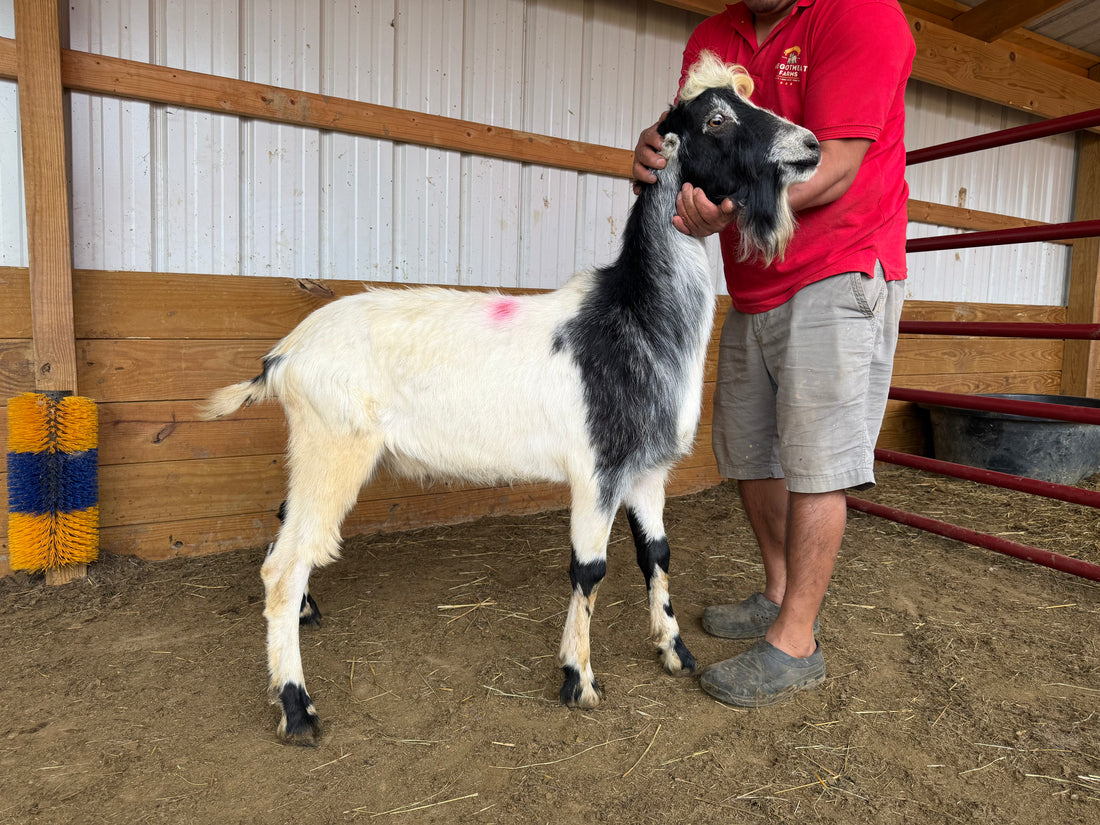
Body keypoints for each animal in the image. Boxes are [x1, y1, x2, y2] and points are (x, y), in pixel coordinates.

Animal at [202, 51, 821, 745]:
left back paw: (307, 617)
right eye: (716, 119)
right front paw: (578, 679)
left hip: (313, 448)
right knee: (284, 565)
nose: (811, 145)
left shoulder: (646, 469)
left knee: (287, 531)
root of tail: (284, 357)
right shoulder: (598, 470)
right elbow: (589, 569)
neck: (635, 317)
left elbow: (656, 554)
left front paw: (674, 650)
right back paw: (297, 706)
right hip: (334, 445)